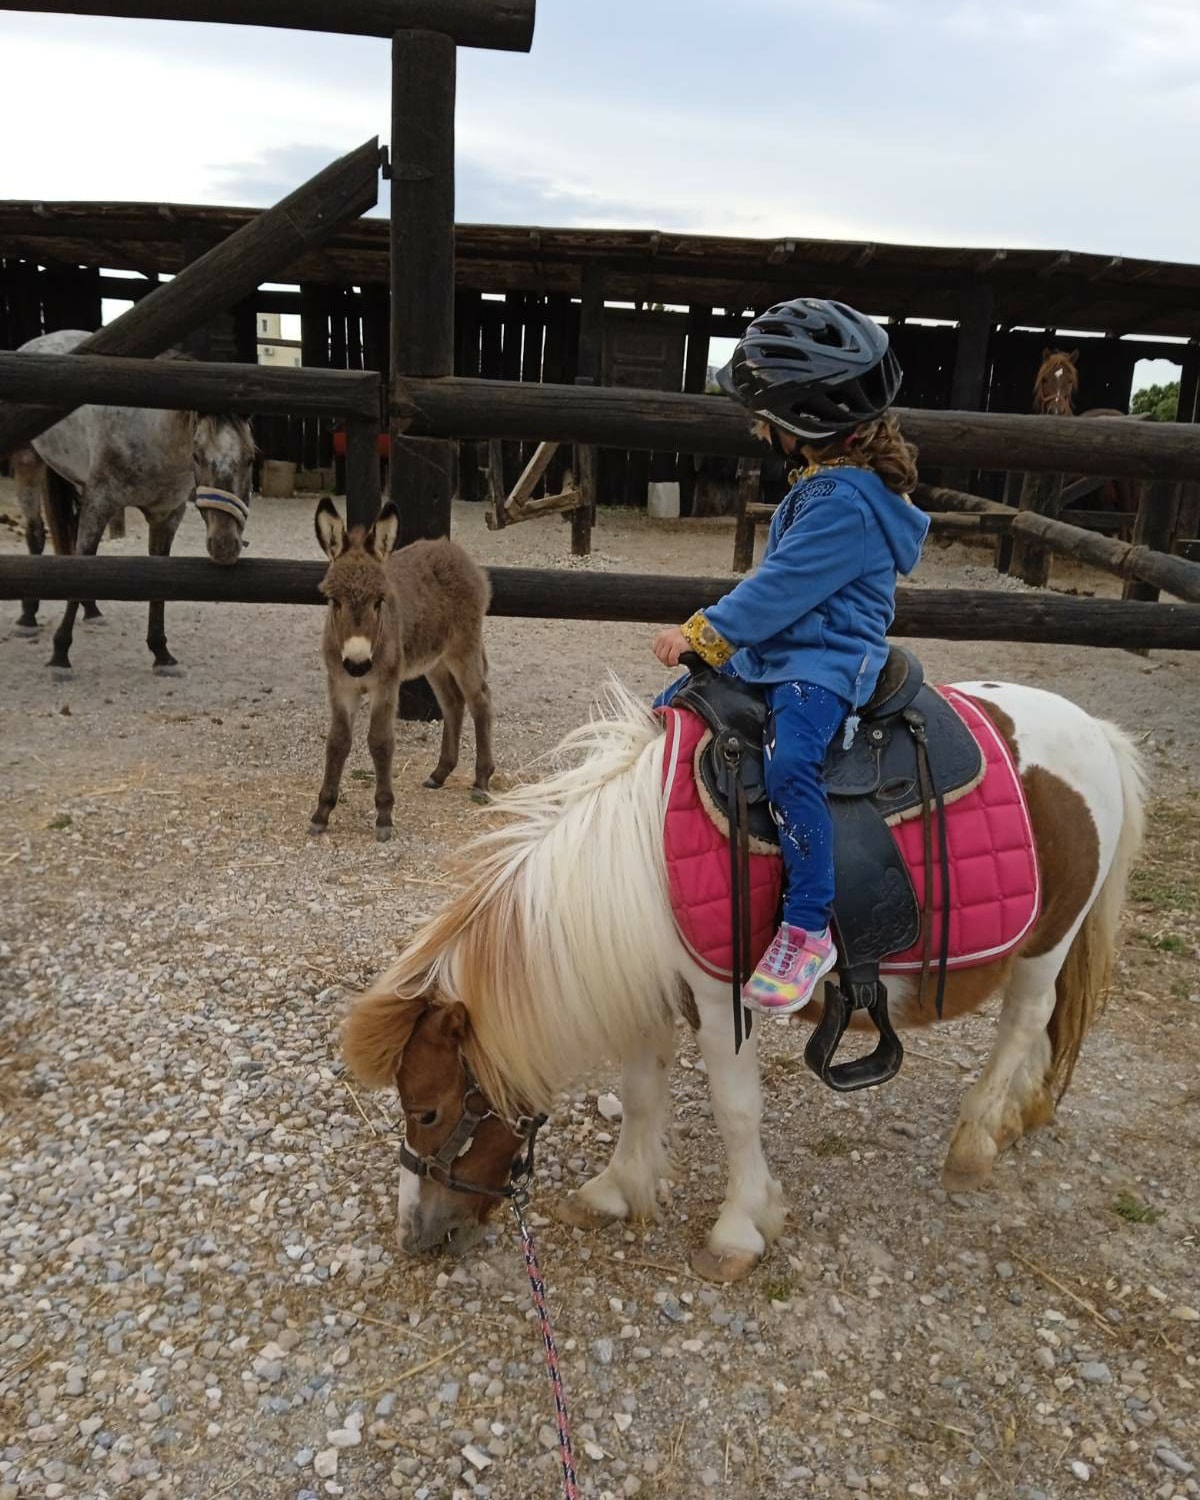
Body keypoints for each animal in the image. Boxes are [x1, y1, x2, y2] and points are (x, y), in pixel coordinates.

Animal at [12, 329, 256, 672]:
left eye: (250, 458)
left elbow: (156, 576)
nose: (224, 546)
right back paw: (28, 616)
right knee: (36, 534)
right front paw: (60, 653)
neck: (150, 435)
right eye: (197, 456)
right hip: (28, 462)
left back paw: (92, 610)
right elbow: (83, 559)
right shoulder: (100, 501)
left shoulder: (167, 515)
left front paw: (161, 653)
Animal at [309, 498, 494, 841]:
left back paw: (482, 780)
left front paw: (384, 815)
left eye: (379, 601)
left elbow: (380, 742)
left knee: (480, 701)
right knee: (453, 702)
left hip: (463, 649)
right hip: (434, 660)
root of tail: (453, 549)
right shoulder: (341, 684)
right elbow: (337, 742)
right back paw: (440, 773)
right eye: (334, 601)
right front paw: (322, 812)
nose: (358, 663)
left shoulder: (385, 684)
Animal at [341, 677, 1144, 1283]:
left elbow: (736, 1111)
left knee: (1023, 1020)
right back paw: (1018, 1115)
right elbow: (641, 1093)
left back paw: (976, 1140)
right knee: (1041, 1027)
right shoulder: (653, 991)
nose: (414, 1232)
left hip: (1046, 940)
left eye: (428, 1111)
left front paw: (739, 1229)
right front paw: (617, 1191)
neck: (638, 868)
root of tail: (1095, 731)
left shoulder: (717, 997)